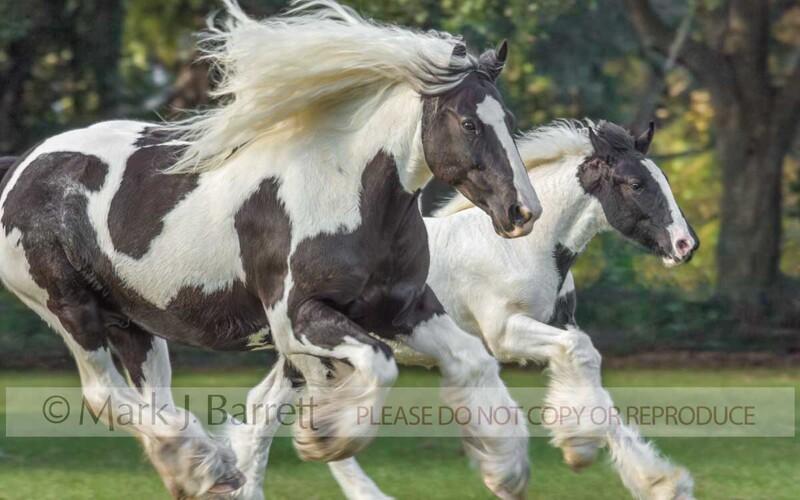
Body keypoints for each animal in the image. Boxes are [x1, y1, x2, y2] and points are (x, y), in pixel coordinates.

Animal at [0, 1, 542, 498]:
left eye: (508, 117)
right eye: (469, 124)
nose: (523, 211)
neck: (350, 193)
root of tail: (23, 165)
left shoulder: (404, 309)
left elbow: (474, 359)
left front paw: (506, 469)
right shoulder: (297, 317)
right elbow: (379, 364)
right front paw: (323, 436)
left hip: (134, 323)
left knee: (155, 404)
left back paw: (199, 471)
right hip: (70, 309)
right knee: (103, 396)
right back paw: (211, 468)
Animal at [245, 120, 700, 499]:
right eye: (636, 183)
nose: (686, 245)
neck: (525, 248)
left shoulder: (559, 324)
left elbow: (593, 381)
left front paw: (660, 483)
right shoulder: (505, 333)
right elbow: (580, 355)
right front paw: (577, 447)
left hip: (307, 356)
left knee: (264, 408)